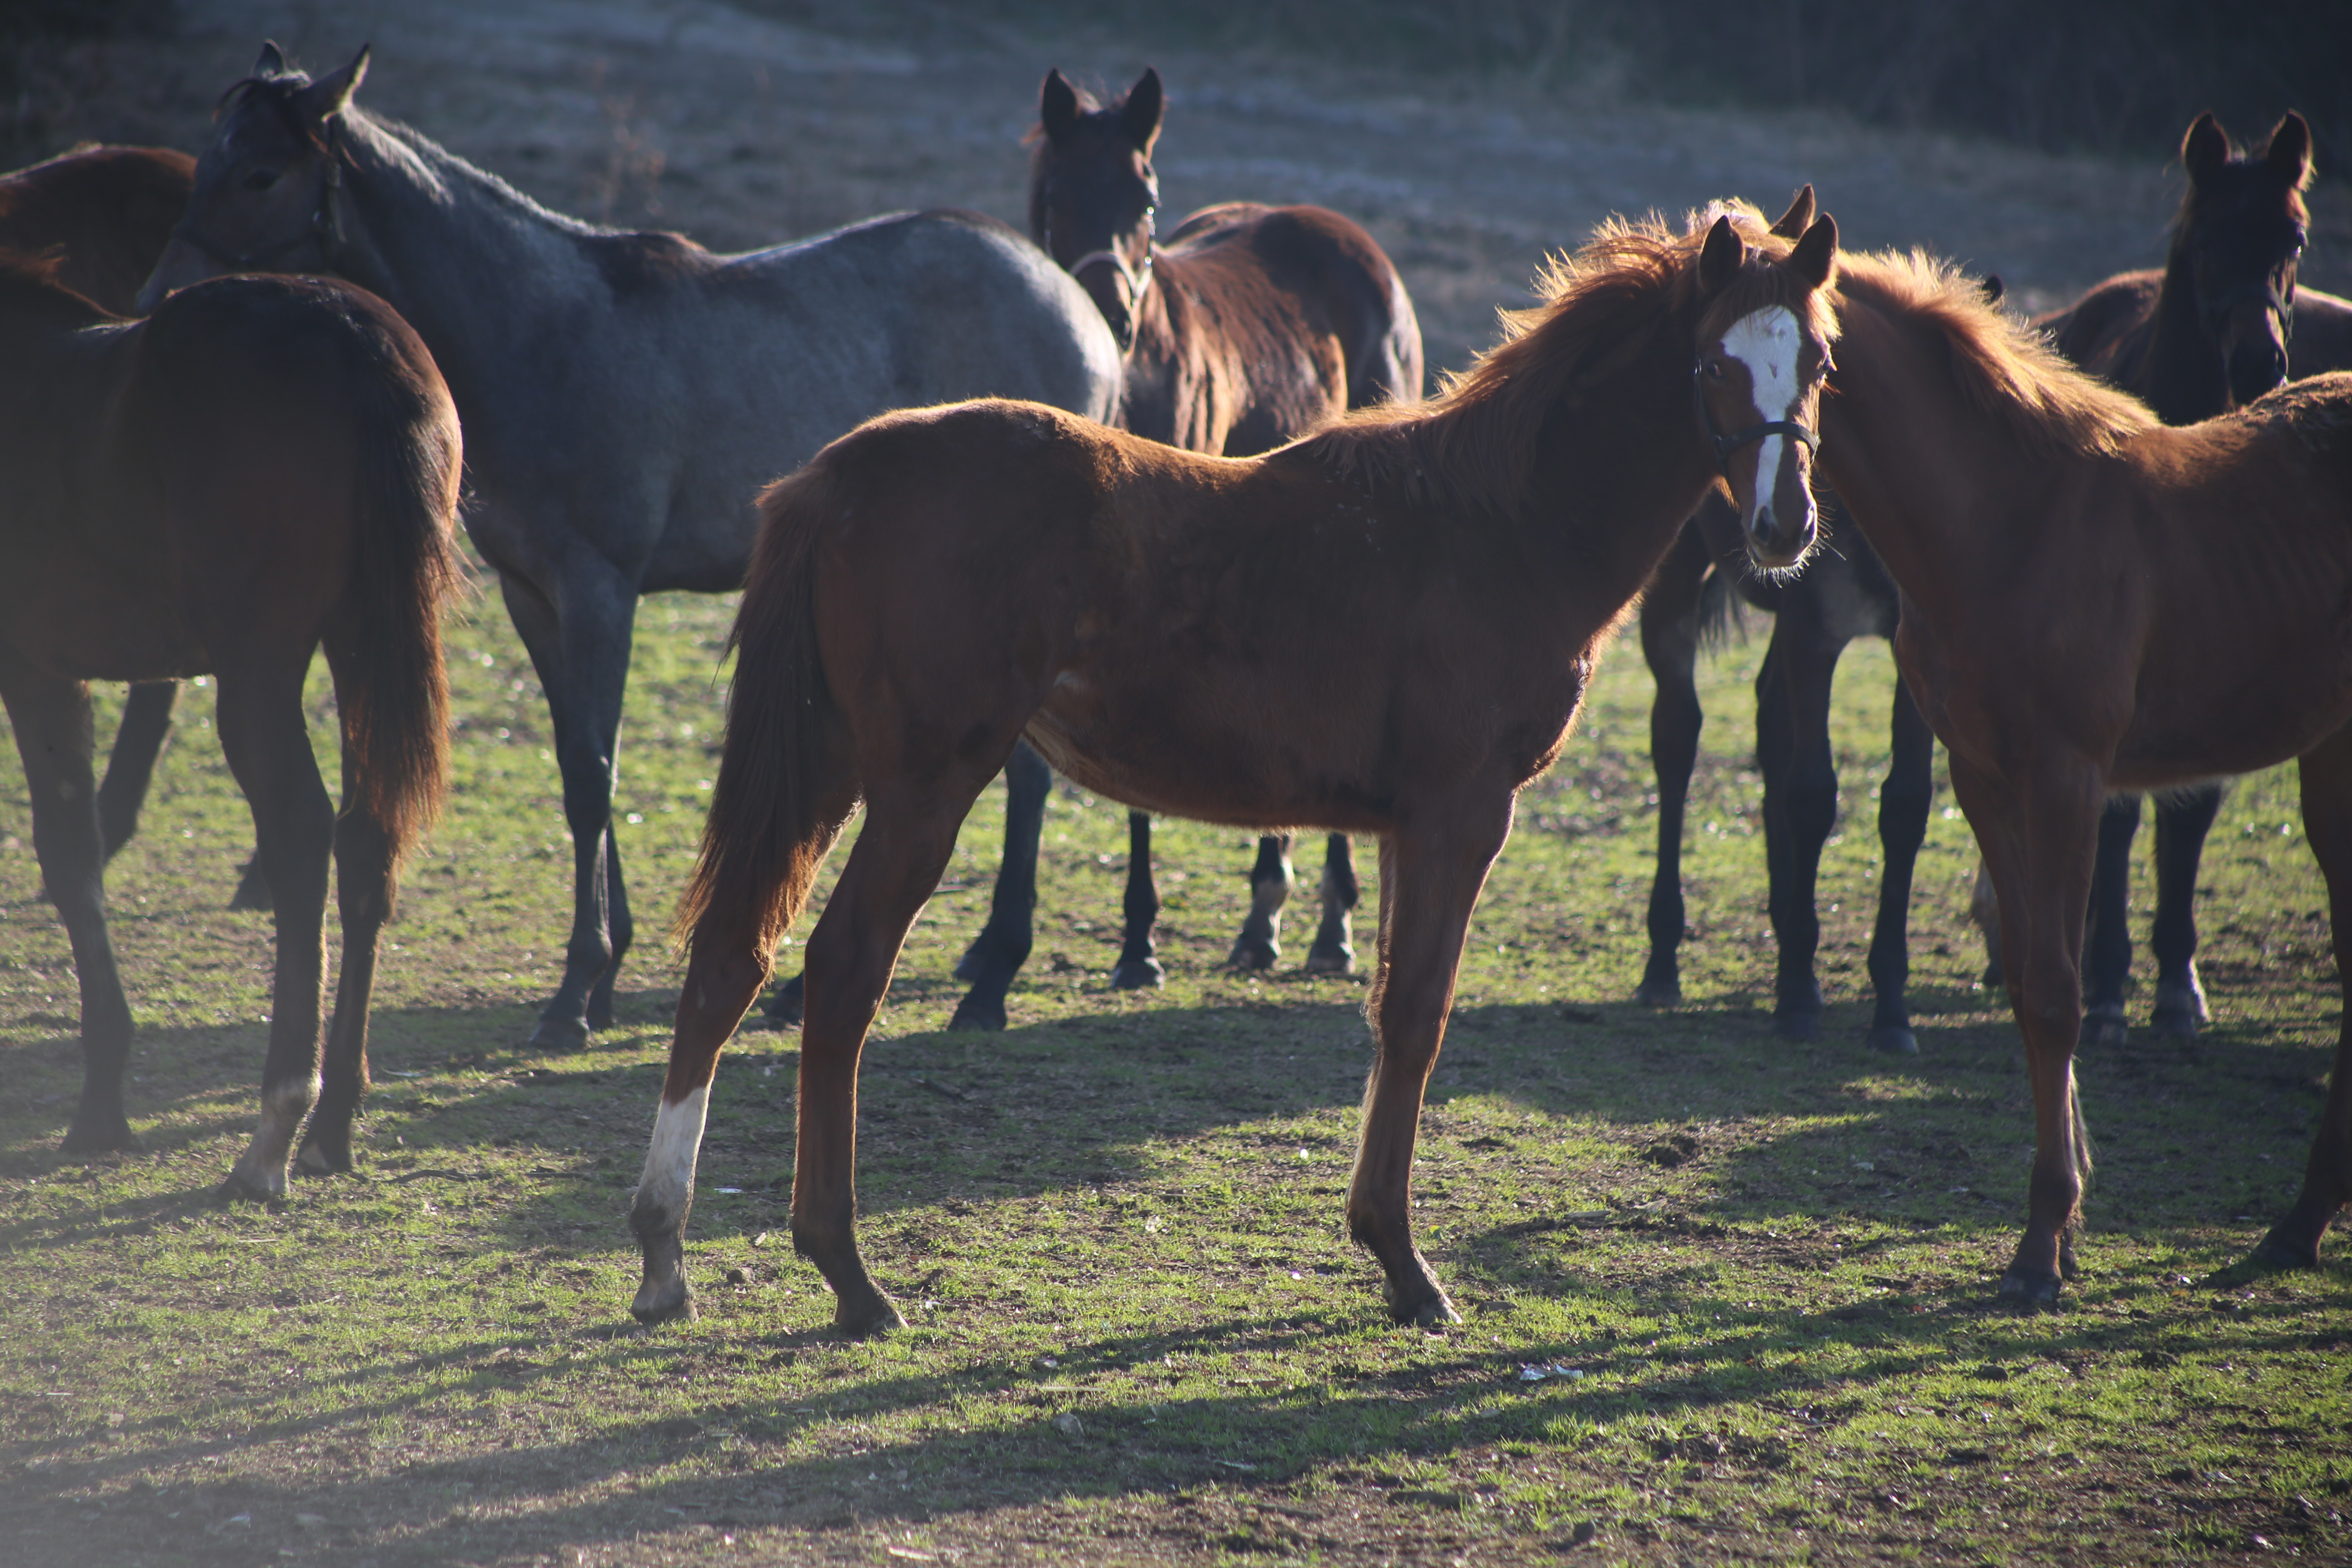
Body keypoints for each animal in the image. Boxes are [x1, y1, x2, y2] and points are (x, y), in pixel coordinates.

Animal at [0, 257, 463, 1194]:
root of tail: (354, 339)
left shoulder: (34, 670)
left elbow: (71, 860)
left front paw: (100, 1104)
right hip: (360, 640)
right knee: (366, 838)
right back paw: (331, 1125)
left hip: (259, 668)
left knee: (300, 832)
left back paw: (274, 1131)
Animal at [140, 46, 1129, 1053]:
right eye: (208, 157)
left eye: (262, 175)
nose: (158, 302)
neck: (535, 336)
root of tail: (1075, 303)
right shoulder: (533, 596)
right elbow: (579, 762)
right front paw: (607, 967)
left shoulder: (600, 591)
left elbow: (592, 776)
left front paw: (576, 990)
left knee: (1031, 776)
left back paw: (994, 976)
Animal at [635, 200, 1844, 1335]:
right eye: (1714, 363)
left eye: (1821, 362)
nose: (1785, 530)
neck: (1502, 525)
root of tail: (835, 475)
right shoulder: (1460, 815)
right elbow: (1418, 1015)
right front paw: (1407, 1268)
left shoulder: (1403, 827)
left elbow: (1392, 1010)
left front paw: (1384, 1245)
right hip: (921, 785)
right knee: (840, 975)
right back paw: (847, 1275)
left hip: (830, 764)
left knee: (730, 957)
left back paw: (665, 1257)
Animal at [1759, 223, 2352, 1297]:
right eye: (1710, 354)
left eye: (1817, 361)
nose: (1781, 526)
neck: (2012, 518)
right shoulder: (1984, 776)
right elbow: (2031, 981)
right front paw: (2061, 1220)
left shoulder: (2067, 777)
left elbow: (2055, 992)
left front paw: (2041, 1246)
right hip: (2330, 749)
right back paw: (2294, 1225)